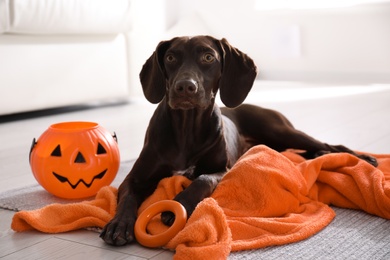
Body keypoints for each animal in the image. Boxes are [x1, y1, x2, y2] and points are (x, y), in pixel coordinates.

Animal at [100, 35, 378, 246]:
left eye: (208, 57)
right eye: (170, 58)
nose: (185, 87)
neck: (187, 127)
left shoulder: (221, 170)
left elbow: (201, 181)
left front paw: (173, 207)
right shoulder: (135, 178)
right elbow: (126, 198)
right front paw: (119, 224)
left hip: (280, 131)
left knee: (331, 145)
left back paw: (363, 158)